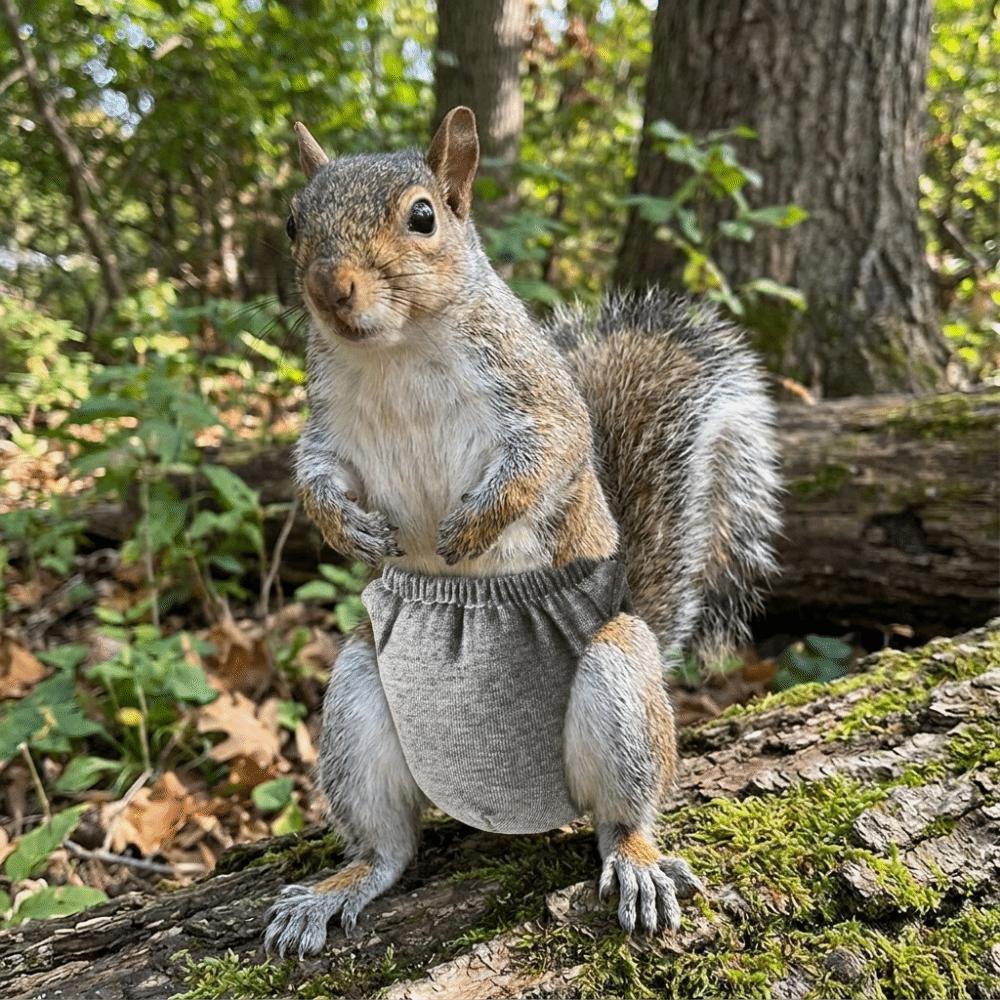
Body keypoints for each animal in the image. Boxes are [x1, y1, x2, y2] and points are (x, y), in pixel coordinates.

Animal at [264, 107, 780, 958]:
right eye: (293, 222)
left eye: (423, 217)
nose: (329, 290)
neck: (397, 349)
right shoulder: (326, 429)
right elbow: (312, 476)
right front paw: (347, 528)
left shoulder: (537, 397)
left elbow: (549, 457)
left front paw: (473, 527)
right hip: (357, 697)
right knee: (389, 847)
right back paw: (338, 889)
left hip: (619, 680)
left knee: (621, 816)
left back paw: (636, 861)